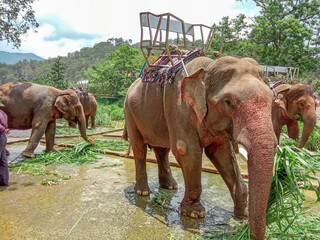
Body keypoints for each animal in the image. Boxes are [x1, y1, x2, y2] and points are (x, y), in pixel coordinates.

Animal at [125, 55, 278, 239]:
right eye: (228, 101)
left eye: (272, 99)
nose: (245, 230)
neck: (208, 67)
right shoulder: (179, 107)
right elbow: (186, 150)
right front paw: (194, 213)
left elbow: (221, 152)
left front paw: (243, 214)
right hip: (129, 111)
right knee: (139, 147)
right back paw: (142, 192)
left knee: (162, 149)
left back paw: (170, 187)